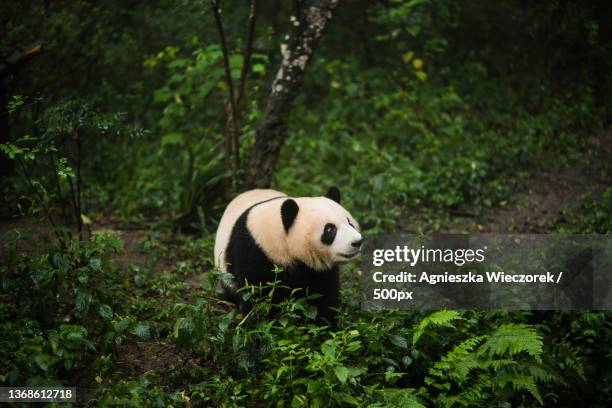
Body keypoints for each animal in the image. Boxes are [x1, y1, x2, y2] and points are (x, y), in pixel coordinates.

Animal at [214, 186, 364, 324]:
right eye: (330, 229)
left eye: (350, 223)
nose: (357, 242)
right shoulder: (252, 250)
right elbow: (256, 295)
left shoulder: (319, 271)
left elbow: (324, 295)